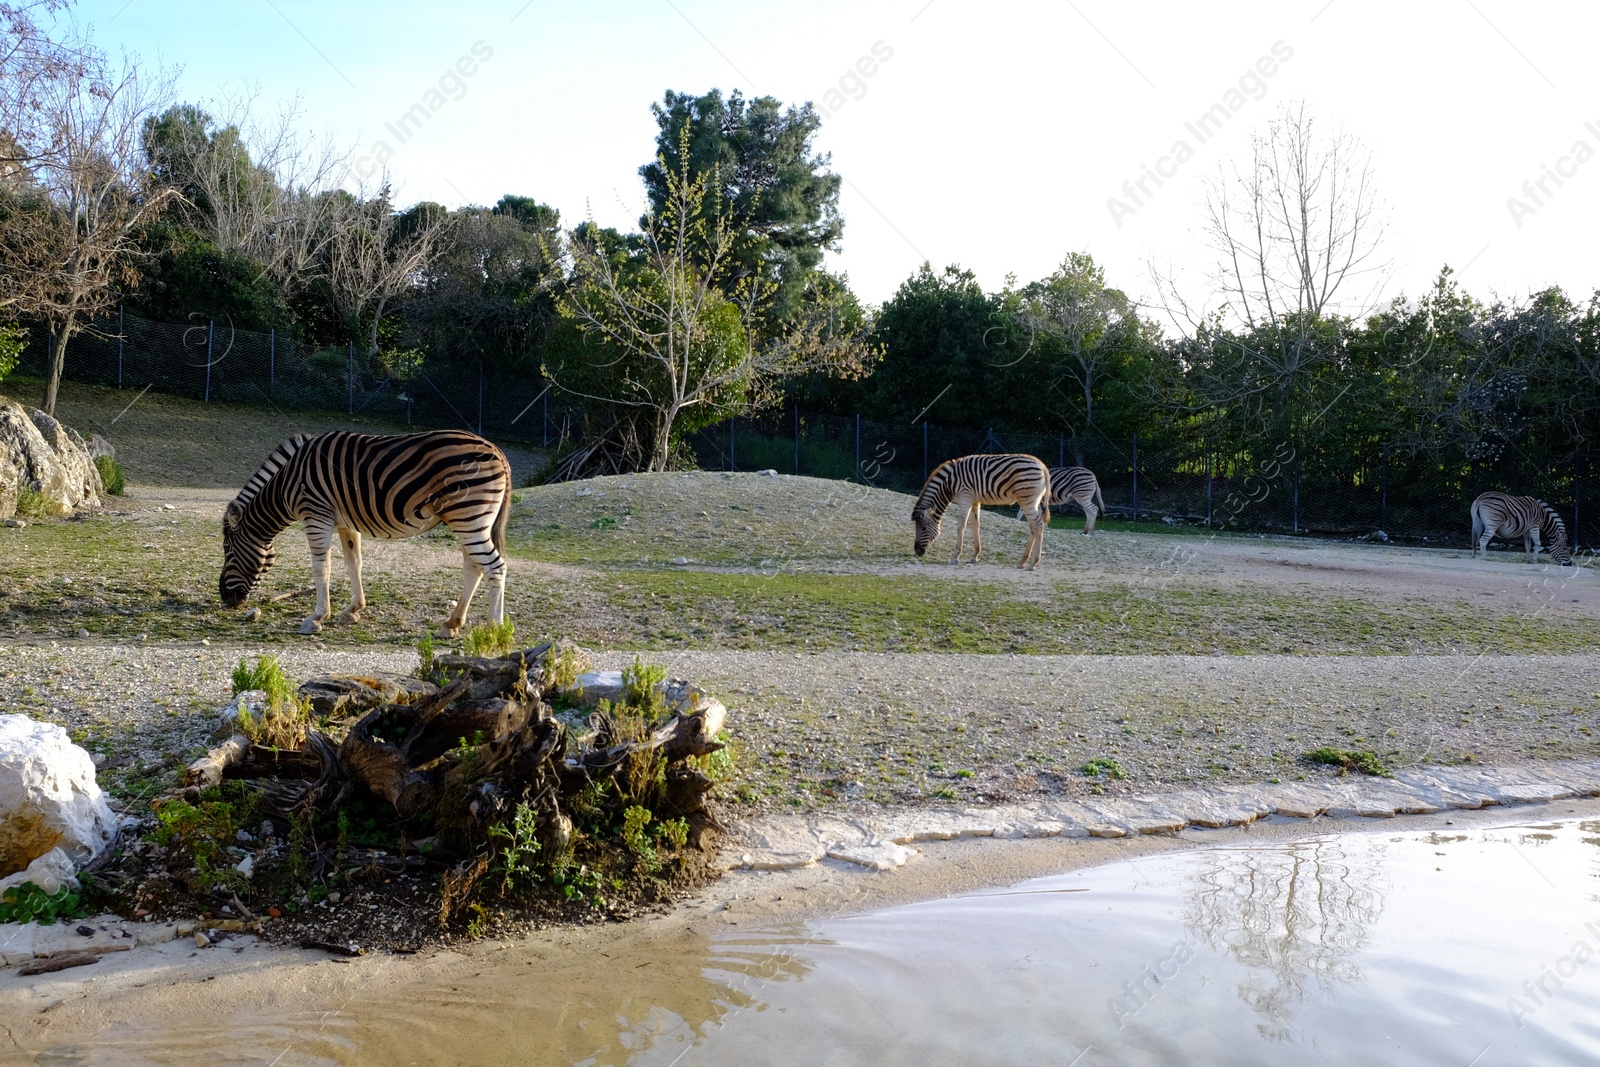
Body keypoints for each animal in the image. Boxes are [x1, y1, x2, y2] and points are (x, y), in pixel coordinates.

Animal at [219, 431, 512, 639]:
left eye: (228, 550)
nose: (225, 599)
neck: (286, 483)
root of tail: (497, 450)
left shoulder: (316, 514)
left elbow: (321, 568)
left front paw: (316, 618)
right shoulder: (345, 523)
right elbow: (353, 565)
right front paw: (353, 610)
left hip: (468, 517)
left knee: (495, 567)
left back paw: (494, 630)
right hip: (469, 521)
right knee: (474, 568)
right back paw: (451, 624)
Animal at [915, 454, 1049, 572]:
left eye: (923, 528)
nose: (917, 551)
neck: (950, 483)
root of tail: (1042, 466)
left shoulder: (965, 497)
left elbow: (961, 526)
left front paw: (955, 557)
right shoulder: (974, 501)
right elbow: (975, 525)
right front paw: (974, 556)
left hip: (1027, 500)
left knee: (1038, 525)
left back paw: (1033, 564)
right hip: (1033, 501)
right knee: (1033, 527)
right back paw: (1022, 562)